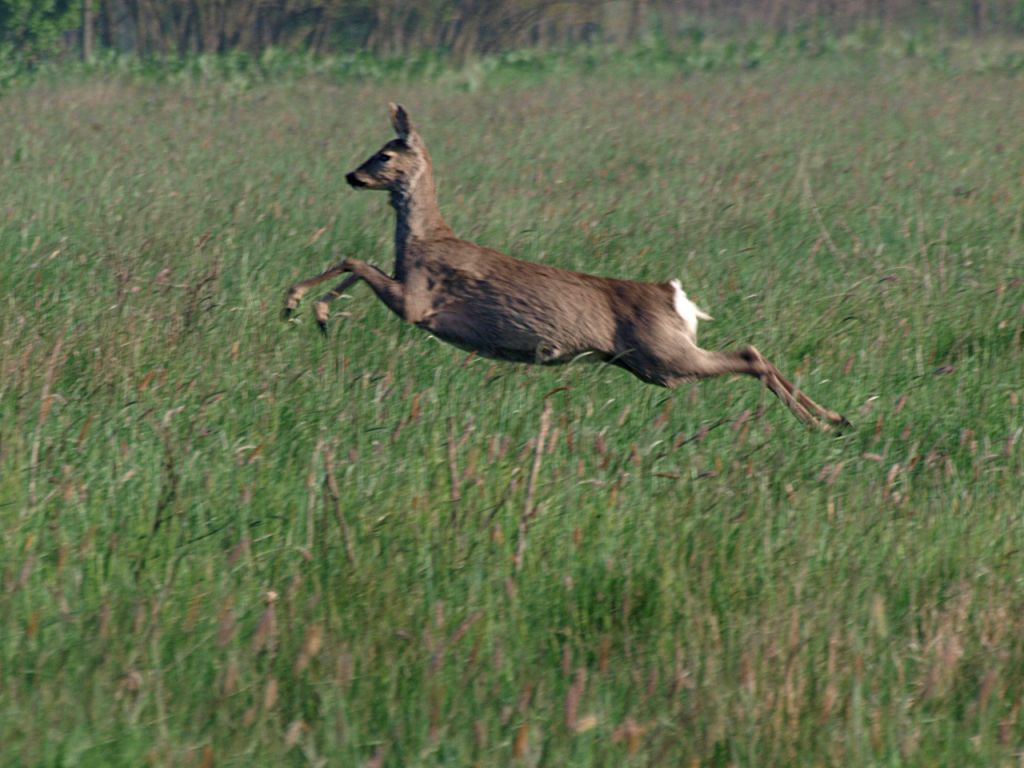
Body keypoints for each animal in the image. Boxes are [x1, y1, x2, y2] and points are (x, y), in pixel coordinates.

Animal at [284, 103, 851, 434]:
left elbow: (355, 259)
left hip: (664, 356)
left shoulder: (418, 302)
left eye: (383, 154)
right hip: (652, 363)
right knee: (750, 353)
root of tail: (674, 296)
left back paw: (826, 422)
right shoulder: (407, 288)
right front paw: (314, 312)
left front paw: (300, 304)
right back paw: (836, 419)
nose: (351, 175)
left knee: (749, 354)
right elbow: (356, 265)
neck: (424, 237)